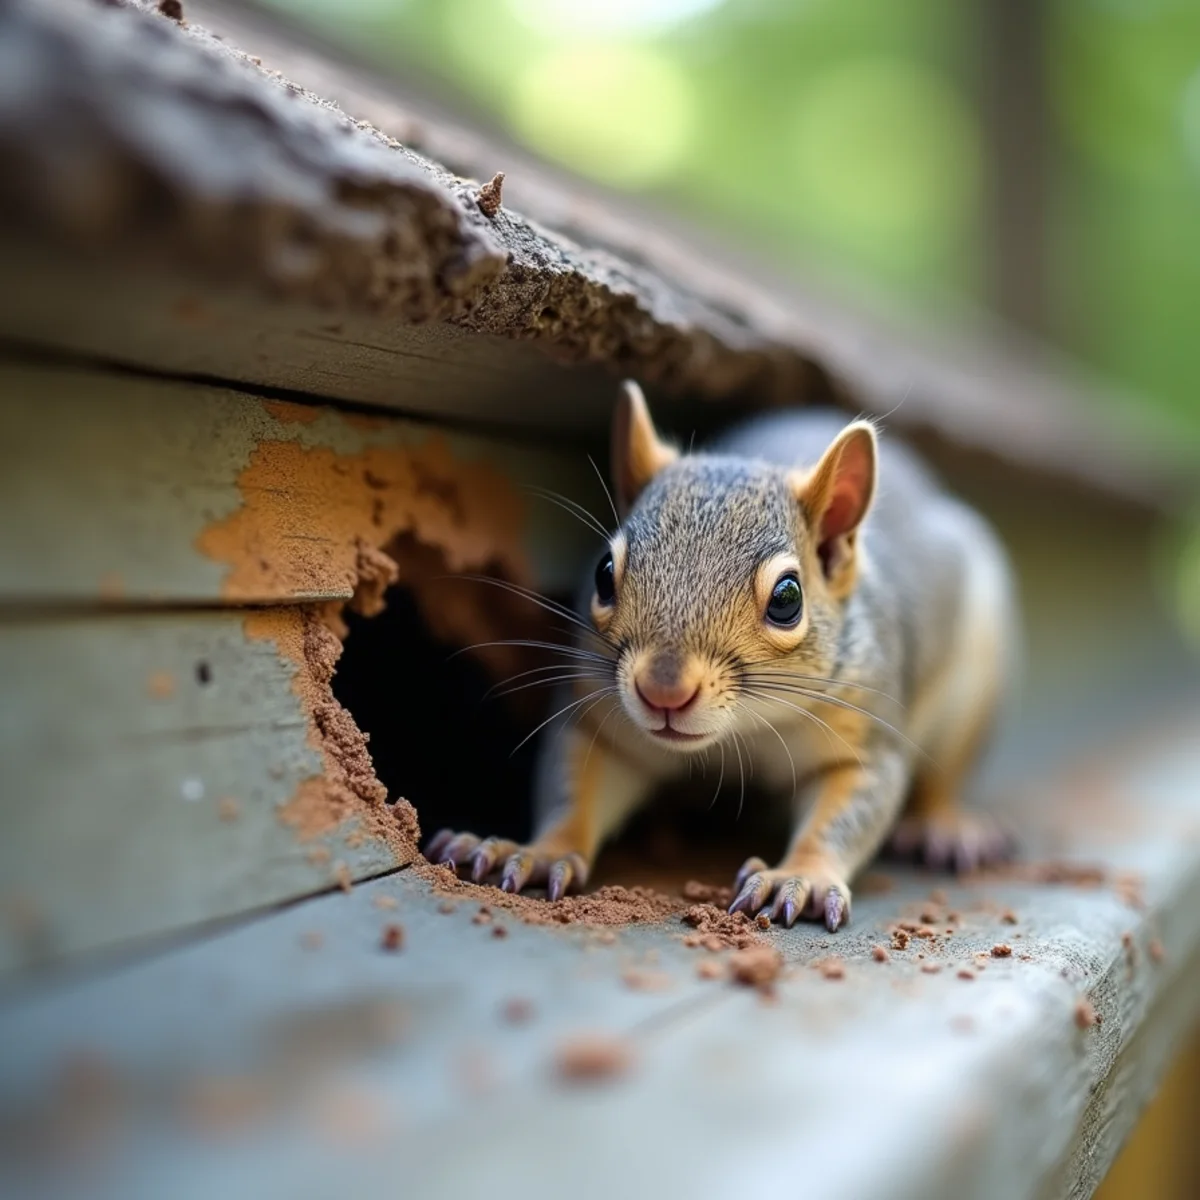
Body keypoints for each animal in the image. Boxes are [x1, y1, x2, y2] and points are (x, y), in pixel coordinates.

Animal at [427, 381, 1019, 931]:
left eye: (787, 599)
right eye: (603, 573)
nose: (662, 690)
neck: (740, 732)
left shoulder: (861, 730)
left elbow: (846, 809)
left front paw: (800, 875)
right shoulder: (602, 719)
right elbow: (578, 787)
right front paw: (537, 851)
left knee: (943, 777)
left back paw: (945, 826)